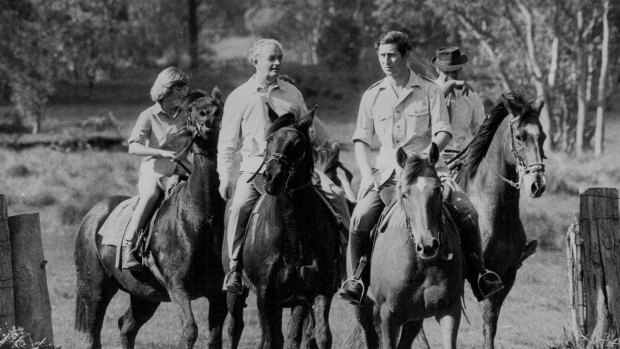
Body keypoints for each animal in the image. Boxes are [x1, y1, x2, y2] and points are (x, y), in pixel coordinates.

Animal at [74, 87, 234, 348]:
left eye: (217, 106)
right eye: (192, 109)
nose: (208, 118)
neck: (200, 217)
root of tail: (91, 217)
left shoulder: (217, 293)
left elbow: (214, 338)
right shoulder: (177, 286)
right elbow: (190, 331)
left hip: (144, 295)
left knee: (126, 327)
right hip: (95, 291)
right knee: (93, 335)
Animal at [241, 107, 340, 346]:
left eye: (299, 144)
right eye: (269, 141)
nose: (273, 177)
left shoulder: (318, 292)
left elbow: (320, 336)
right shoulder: (266, 296)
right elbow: (271, 340)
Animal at [346, 143, 462, 346]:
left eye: (438, 190)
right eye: (404, 194)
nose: (428, 245)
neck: (422, 264)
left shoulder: (450, 310)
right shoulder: (389, 315)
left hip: (415, 318)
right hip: (363, 307)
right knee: (369, 333)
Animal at [452, 92, 544, 348]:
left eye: (542, 136)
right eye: (520, 137)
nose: (537, 184)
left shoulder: (505, 276)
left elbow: (490, 326)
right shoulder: (480, 276)